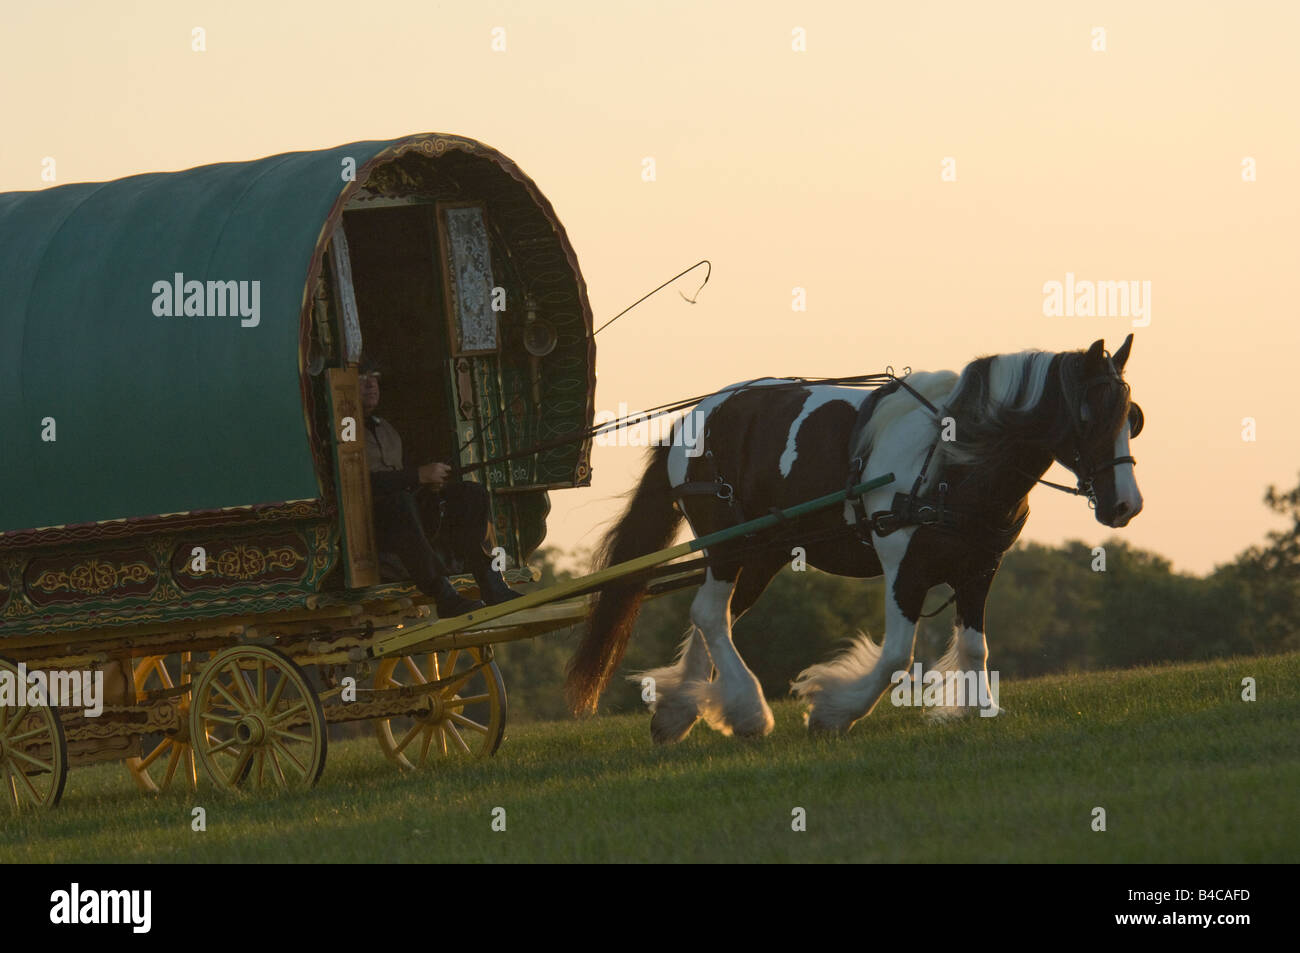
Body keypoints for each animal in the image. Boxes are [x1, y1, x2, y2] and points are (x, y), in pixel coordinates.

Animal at [564, 335, 1144, 738]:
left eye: (1132, 418)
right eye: (1091, 416)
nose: (1127, 505)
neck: (952, 461)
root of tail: (698, 414)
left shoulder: (980, 567)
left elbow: (976, 647)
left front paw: (977, 710)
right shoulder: (903, 568)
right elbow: (895, 659)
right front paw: (833, 712)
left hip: (763, 551)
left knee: (715, 616)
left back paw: (682, 710)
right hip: (728, 543)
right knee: (710, 614)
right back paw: (749, 712)